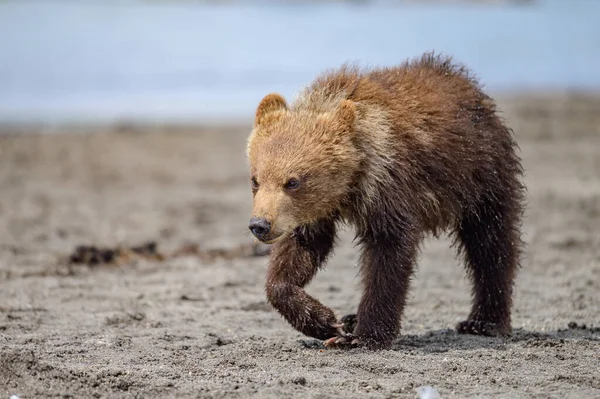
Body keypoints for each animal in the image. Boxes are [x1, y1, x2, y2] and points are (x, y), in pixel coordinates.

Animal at [246, 52, 524, 350]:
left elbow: (389, 252)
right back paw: (351, 318)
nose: (260, 224)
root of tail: (469, 86)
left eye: (293, 181)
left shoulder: (389, 184)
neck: (350, 185)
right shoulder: (312, 212)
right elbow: (300, 250)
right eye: (256, 179)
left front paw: (363, 335)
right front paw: (324, 321)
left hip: (481, 176)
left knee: (490, 243)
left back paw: (484, 321)